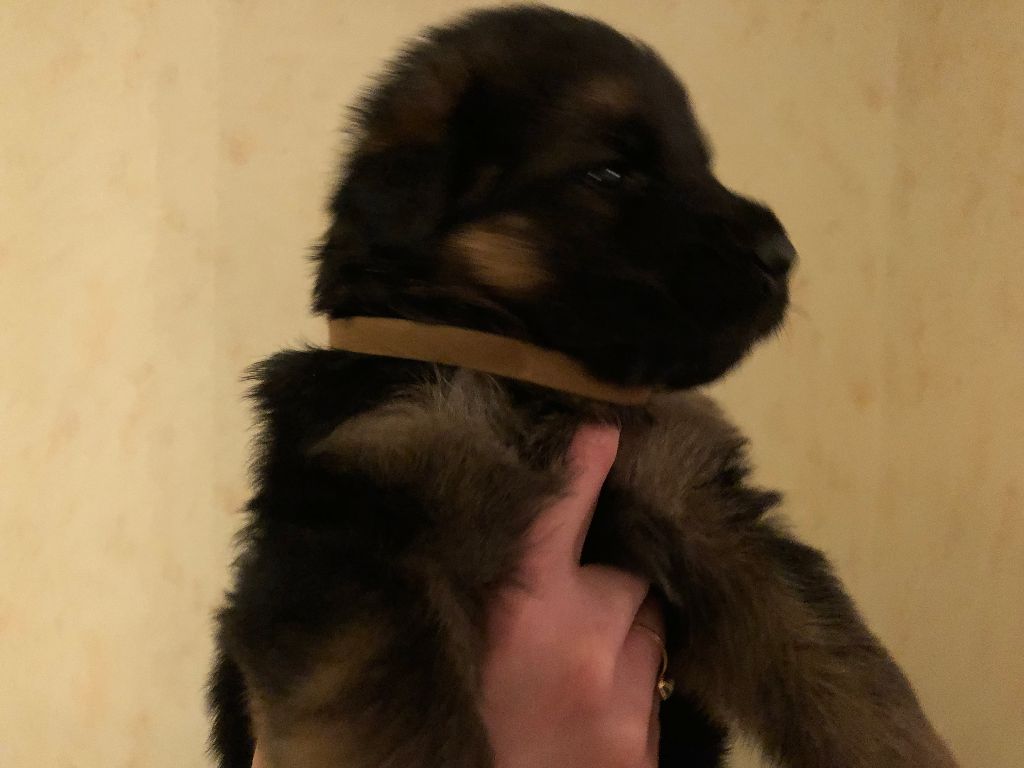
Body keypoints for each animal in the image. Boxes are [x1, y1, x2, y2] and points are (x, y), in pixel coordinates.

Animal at [208, 7, 958, 767]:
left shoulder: (706, 509)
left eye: (702, 164)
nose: (784, 256)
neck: (529, 369)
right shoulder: (362, 524)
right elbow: (398, 722)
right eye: (609, 171)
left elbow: (839, 666)